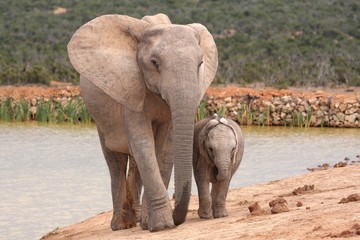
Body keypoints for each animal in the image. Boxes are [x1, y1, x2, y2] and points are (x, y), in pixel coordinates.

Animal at [68, 14, 218, 232]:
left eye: (200, 63)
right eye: (154, 63)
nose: (177, 217)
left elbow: (164, 150)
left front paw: (150, 224)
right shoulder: (130, 89)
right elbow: (143, 144)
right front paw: (162, 225)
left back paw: (137, 219)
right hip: (99, 117)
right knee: (115, 161)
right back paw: (121, 224)